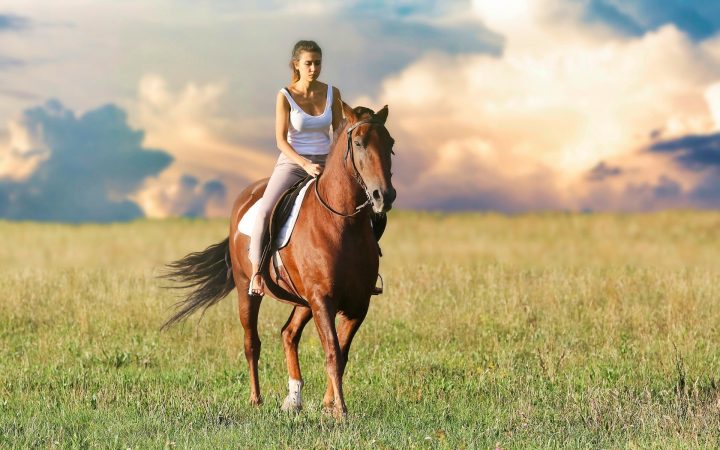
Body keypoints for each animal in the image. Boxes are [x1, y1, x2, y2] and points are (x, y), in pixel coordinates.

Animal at [161, 102, 396, 419]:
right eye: (358, 143)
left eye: (390, 144)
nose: (384, 195)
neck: (342, 223)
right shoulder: (323, 300)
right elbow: (333, 352)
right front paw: (341, 411)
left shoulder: (357, 304)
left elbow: (342, 354)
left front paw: (328, 406)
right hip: (248, 290)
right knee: (252, 343)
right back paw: (256, 399)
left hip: (303, 301)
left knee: (288, 334)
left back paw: (293, 399)